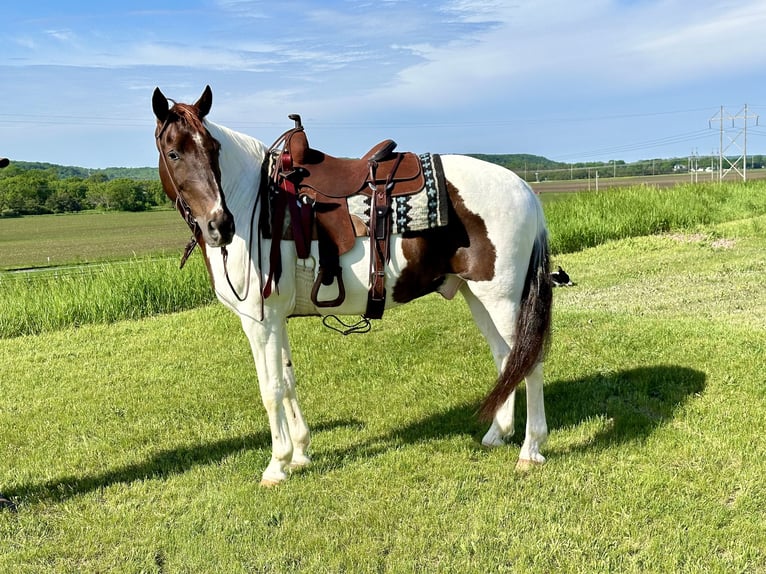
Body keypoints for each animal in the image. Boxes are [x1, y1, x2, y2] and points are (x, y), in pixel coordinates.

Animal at [153, 88, 556, 488]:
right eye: (174, 153)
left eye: (213, 149)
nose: (220, 225)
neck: (253, 200)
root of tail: (524, 189)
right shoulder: (276, 319)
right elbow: (288, 378)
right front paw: (300, 454)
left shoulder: (259, 321)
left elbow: (271, 389)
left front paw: (276, 465)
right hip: (479, 296)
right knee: (507, 359)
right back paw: (497, 433)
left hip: (503, 299)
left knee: (530, 361)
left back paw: (530, 450)